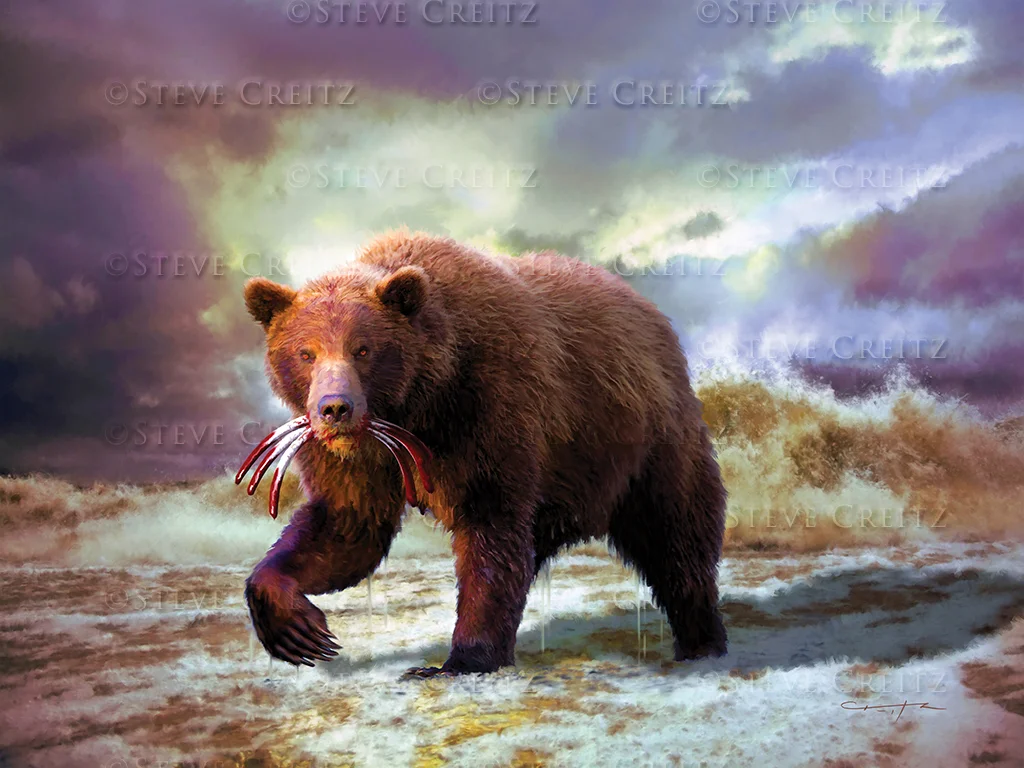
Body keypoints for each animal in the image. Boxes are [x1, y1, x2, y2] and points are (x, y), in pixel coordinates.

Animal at [242, 230, 728, 676]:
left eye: (363, 348)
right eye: (306, 352)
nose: (335, 408)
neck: (416, 408)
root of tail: (653, 315)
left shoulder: (489, 409)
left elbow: (491, 528)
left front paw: (460, 659)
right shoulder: (359, 458)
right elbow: (347, 525)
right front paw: (295, 628)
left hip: (646, 438)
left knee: (678, 535)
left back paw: (701, 641)